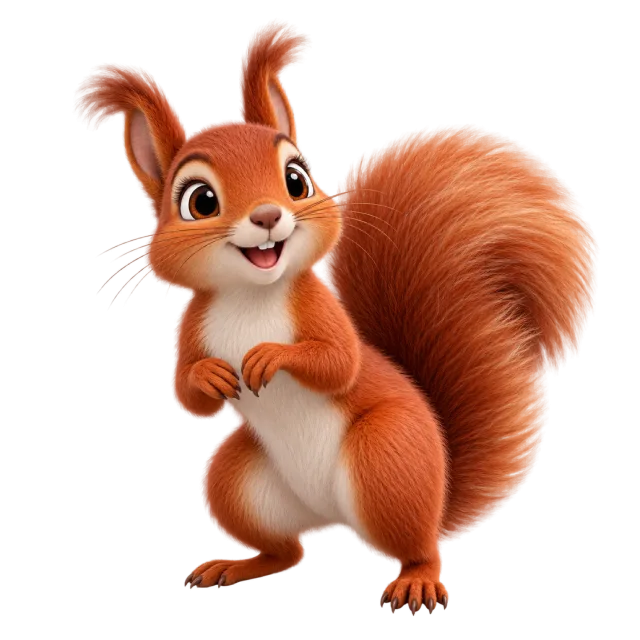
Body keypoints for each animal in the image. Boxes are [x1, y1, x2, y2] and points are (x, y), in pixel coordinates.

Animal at [74, 19, 599, 614]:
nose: (268, 216)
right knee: (288, 552)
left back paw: (417, 579)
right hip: (235, 479)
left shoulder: (320, 308)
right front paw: (209, 376)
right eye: (200, 201)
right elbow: (189, 398)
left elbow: (339, 363)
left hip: (385, 459)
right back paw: (237, 566)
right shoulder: (191, 327)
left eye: (296, 179)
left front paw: (271, 357)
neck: (251, 297)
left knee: (420, 548)